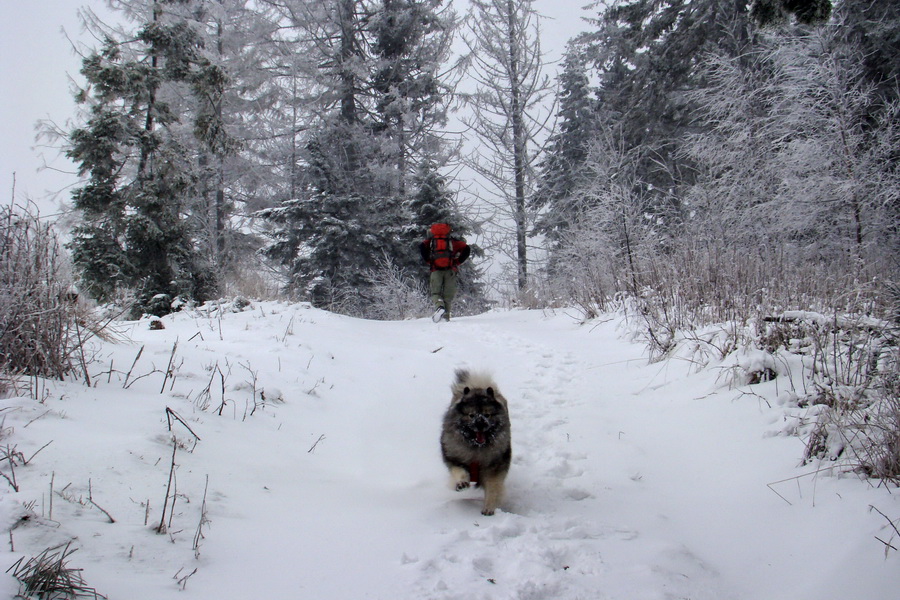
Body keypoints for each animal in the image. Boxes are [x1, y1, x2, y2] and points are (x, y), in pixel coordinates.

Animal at [440, 370, 510, 516]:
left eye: (487, 415)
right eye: (471, 415)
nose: (480, 424)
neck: (476, 449)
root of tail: (477, 385)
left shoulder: (493, 469)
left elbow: (493, 489)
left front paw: (489, 508)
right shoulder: (455, 459)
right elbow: (459, 472)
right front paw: (461, 484)